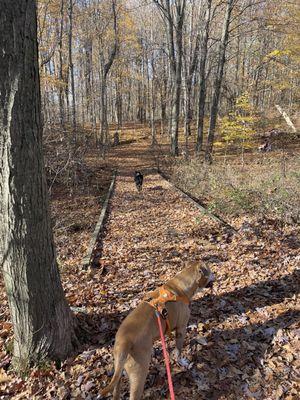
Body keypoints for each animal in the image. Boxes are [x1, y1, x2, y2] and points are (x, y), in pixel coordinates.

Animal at [101, 262, 213, 400]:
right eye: (210, 271)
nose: (215, 275)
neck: (181, 287)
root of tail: (124, 342)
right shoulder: (181, 329)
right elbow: (178, 350)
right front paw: (181, 361)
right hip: (139, 374)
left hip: (118, 371)